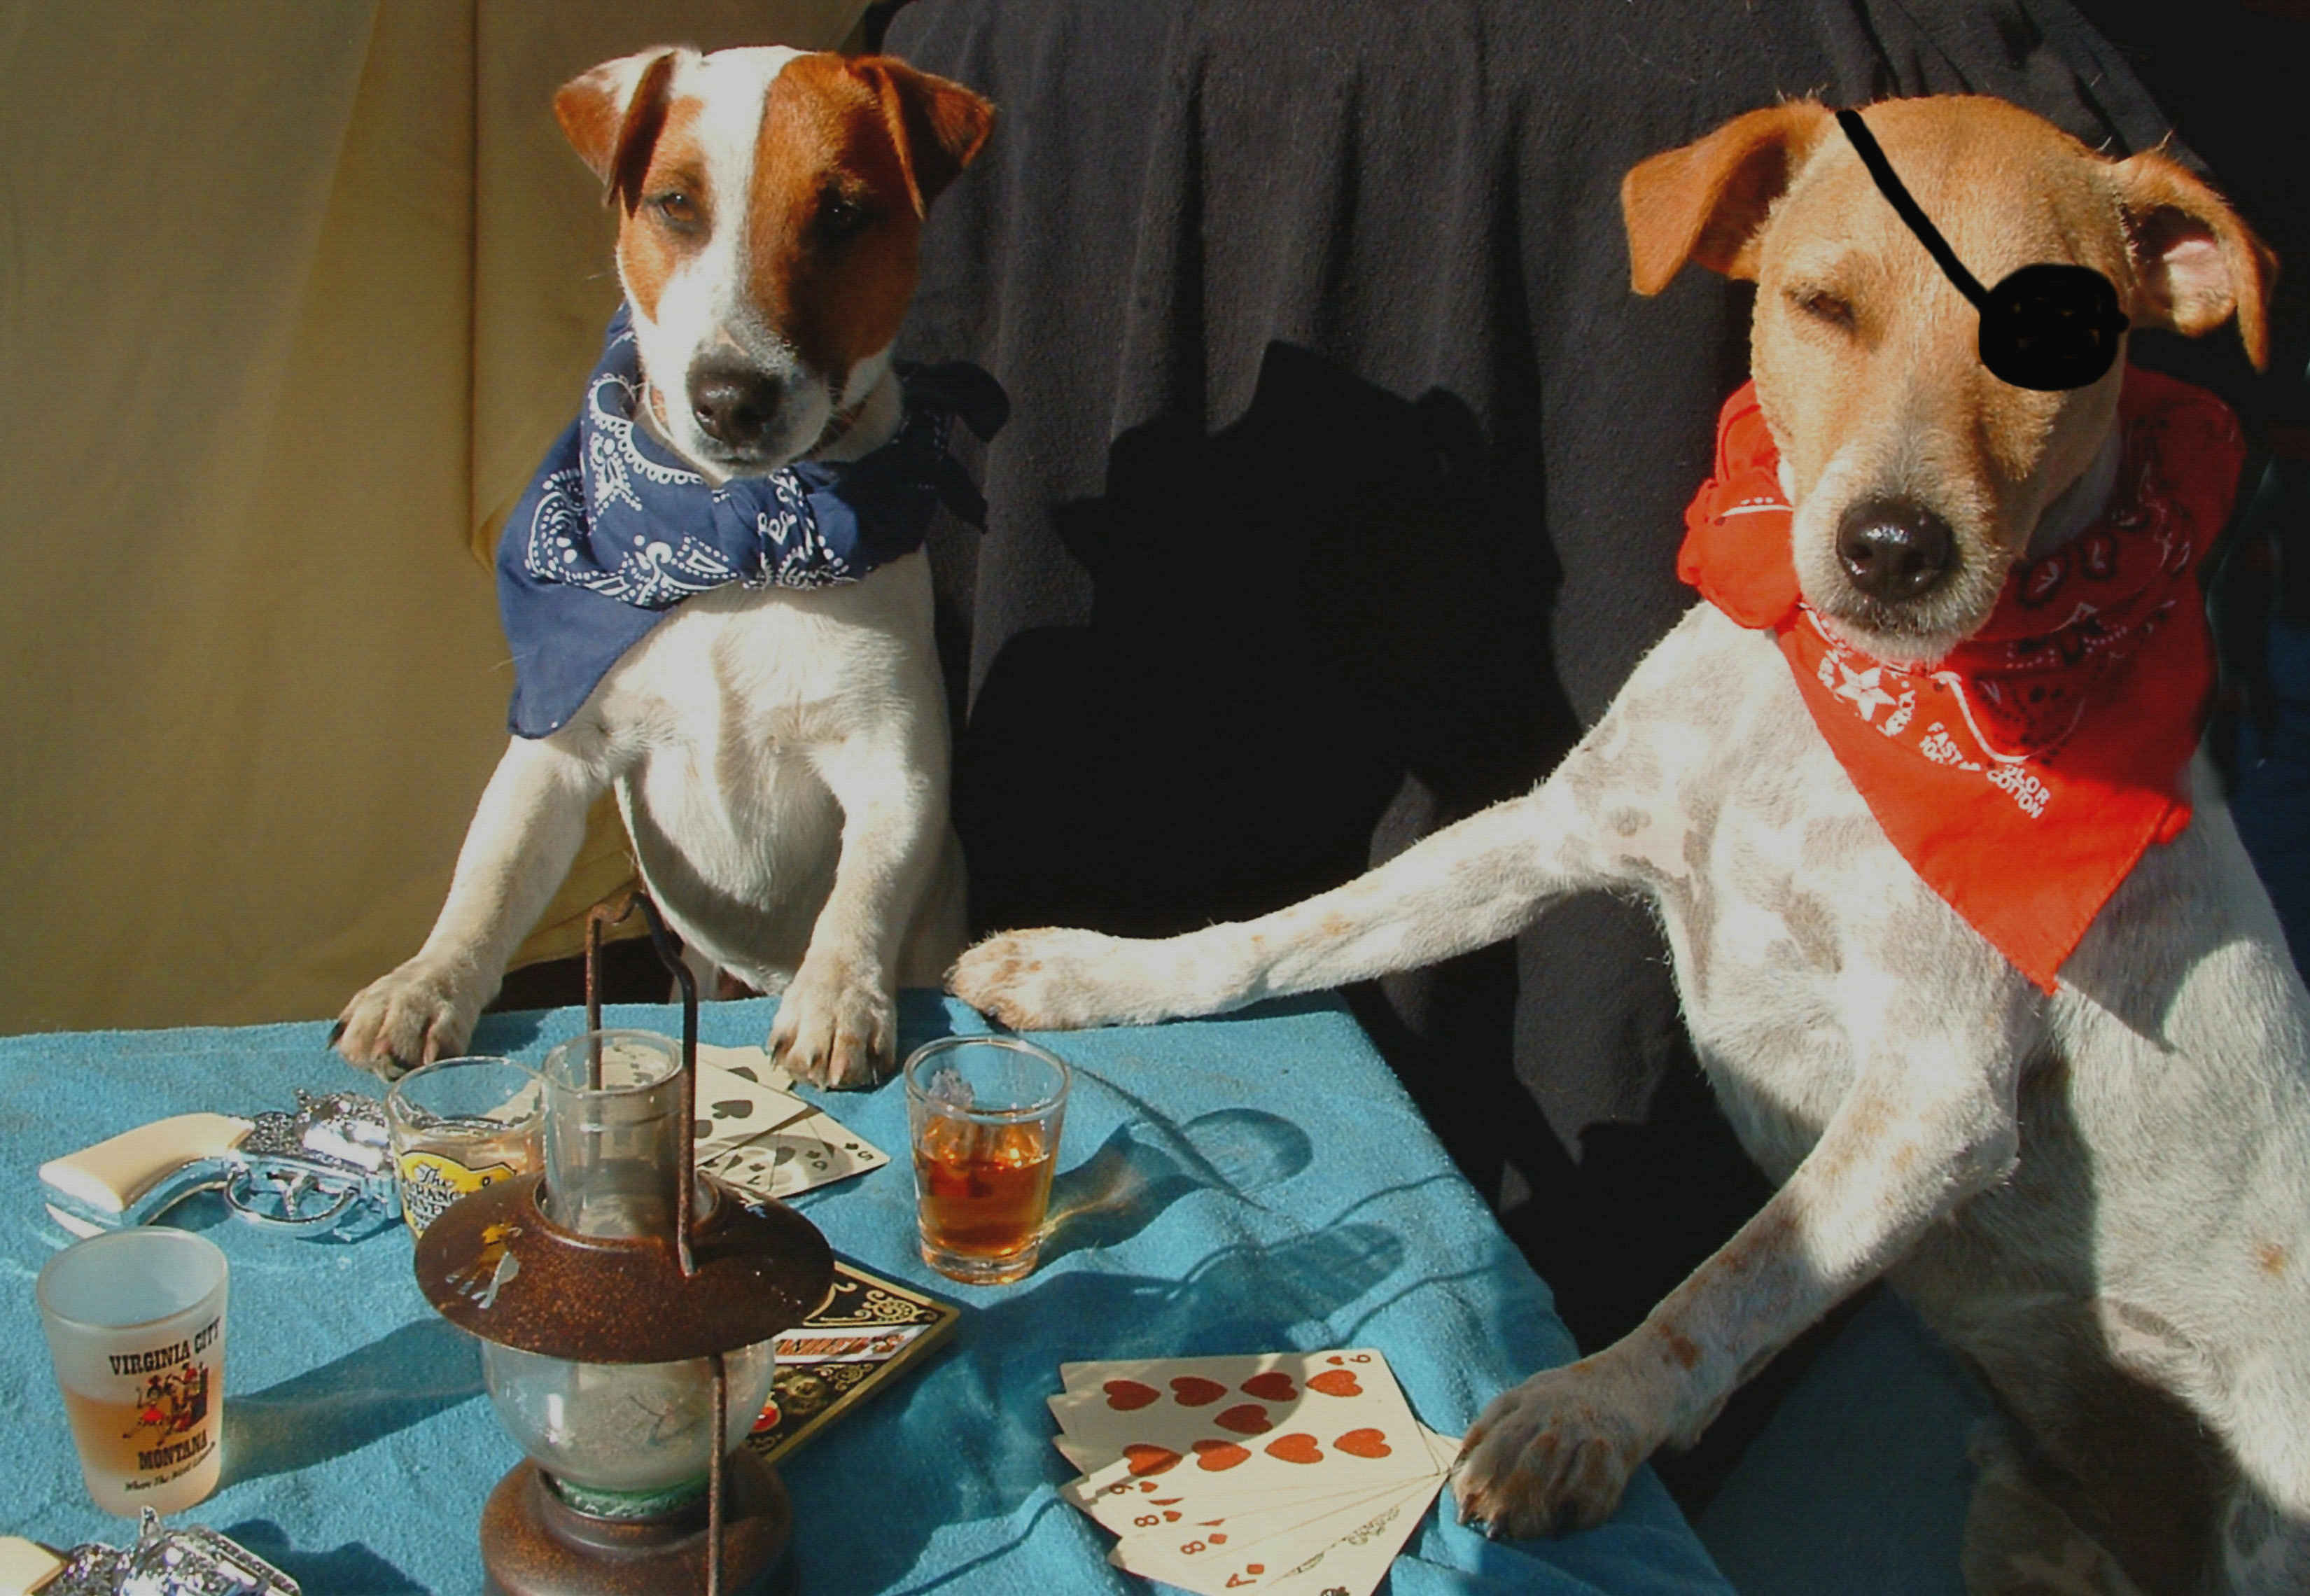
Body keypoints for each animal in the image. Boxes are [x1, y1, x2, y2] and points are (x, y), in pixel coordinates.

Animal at [335, 52, 993, 1099]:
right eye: (676, 203)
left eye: (844, 213)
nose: (732, 397)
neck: (731, 541)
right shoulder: (557, 749)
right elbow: (488, 878)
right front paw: (423, 984)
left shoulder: (895, 768)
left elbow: (860, 894)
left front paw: (838, 997)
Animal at [947, 102, 2300, 1596]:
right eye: (1824, 304)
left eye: (2055, 347)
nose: (1896, 549)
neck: (1839, 718)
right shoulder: (1552, 830)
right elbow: (1287, 936)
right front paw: (1095, 974)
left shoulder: (1934, 1092)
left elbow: (1735, 1278)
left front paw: (1586, 1411)